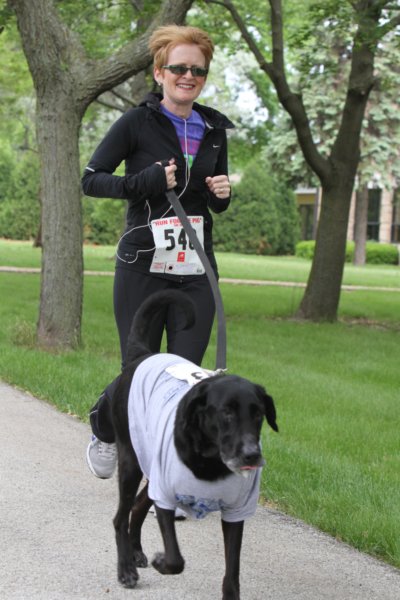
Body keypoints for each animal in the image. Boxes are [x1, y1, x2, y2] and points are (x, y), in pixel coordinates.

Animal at [111, 289, 278, 599]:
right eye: (226, 412)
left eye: (258, 413)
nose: (251, 455)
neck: (211, 463)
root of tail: (144, 355)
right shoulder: (165, 495)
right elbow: (176, 560)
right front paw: (161, 560)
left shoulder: (236, 511)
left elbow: (232, 570)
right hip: (132, 461)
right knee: (121, 516)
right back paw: (125, 568)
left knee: (137, 507)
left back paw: (136, 553)